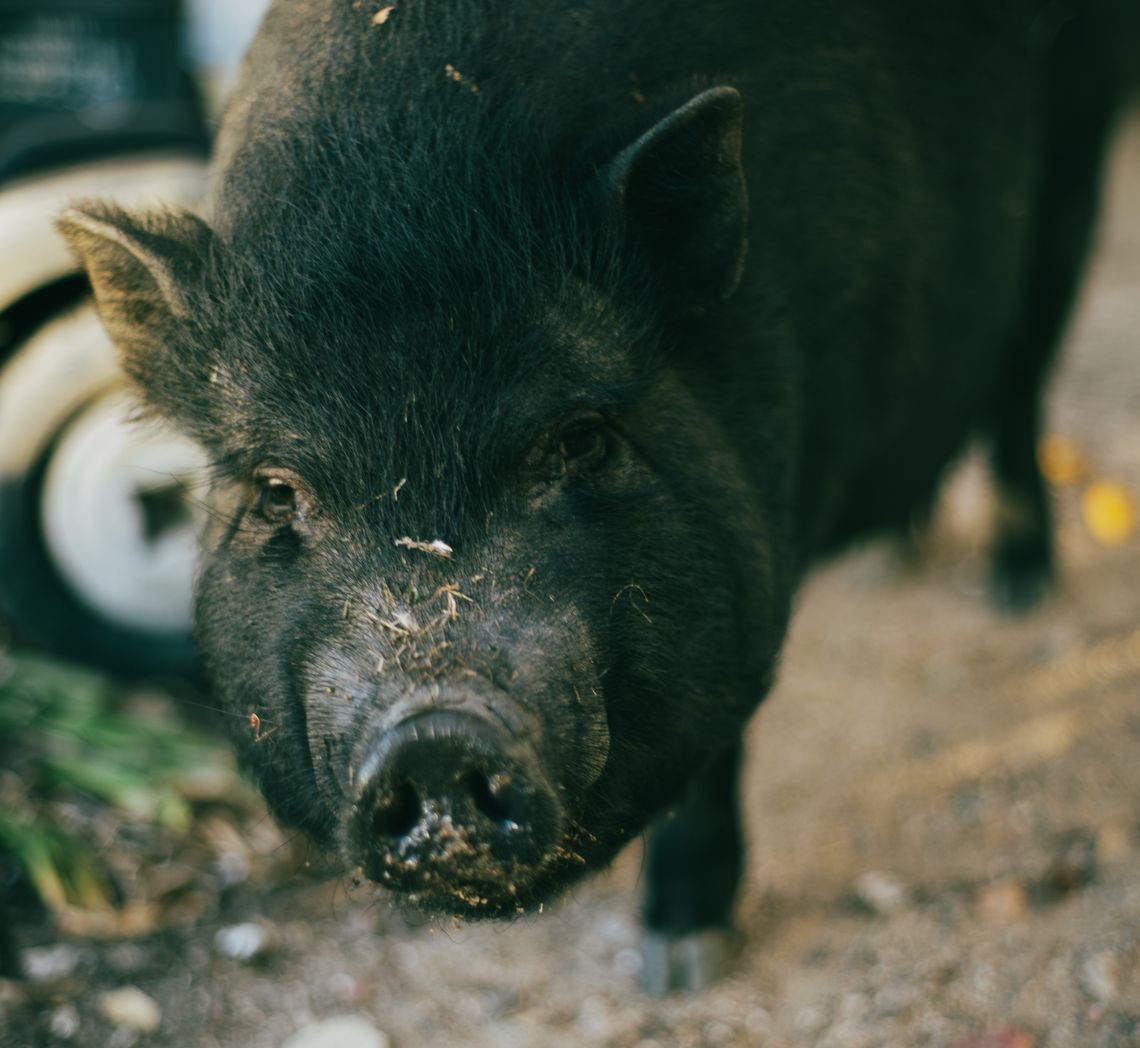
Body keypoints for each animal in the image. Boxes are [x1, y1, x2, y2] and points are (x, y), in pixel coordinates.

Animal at [60, 0, 1130, 989]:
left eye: (580, 439)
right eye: (280, 490)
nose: (433, 735)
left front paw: (678, 966)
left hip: (1075, 168)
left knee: (1020, 377)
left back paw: (1020, 586)